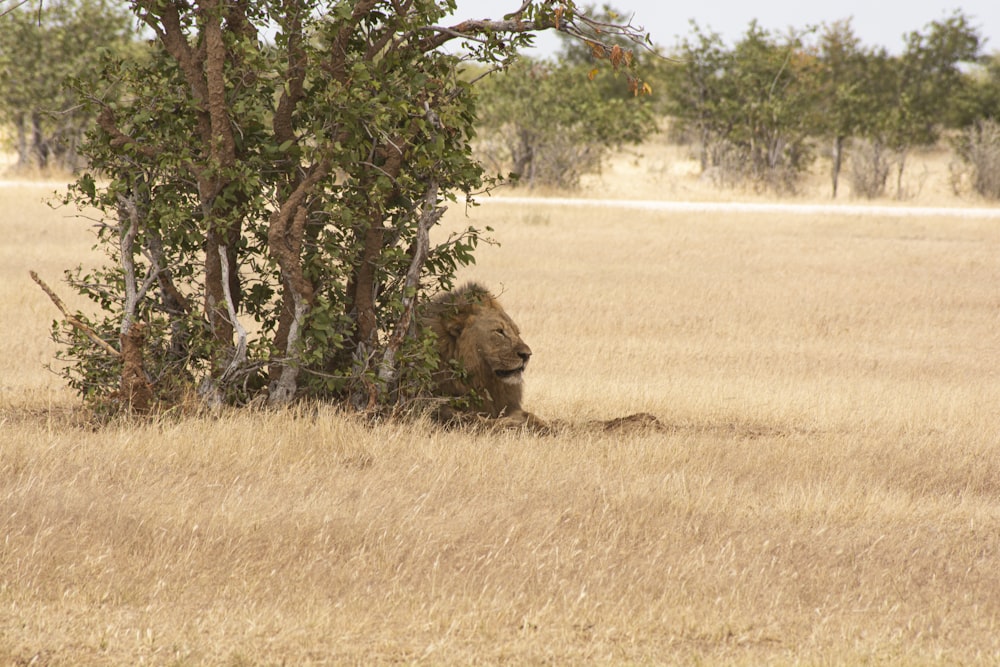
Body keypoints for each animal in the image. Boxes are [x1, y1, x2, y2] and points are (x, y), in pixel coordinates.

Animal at [422, 282, 548, 434]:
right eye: (499, 331)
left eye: (517, 332)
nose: (527, 355)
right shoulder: (433, 406)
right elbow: (476, 421)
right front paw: (517, 425)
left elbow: (530, 415)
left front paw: (554, 424)